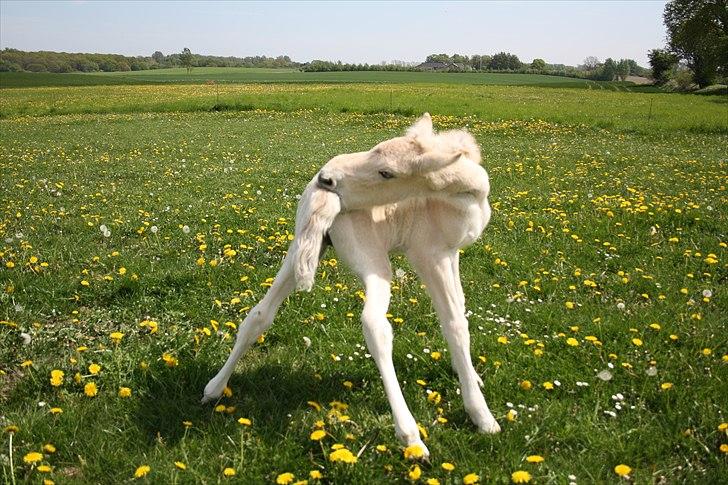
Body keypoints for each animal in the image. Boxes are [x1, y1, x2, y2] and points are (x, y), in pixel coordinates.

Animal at [205, 112, 500, 454]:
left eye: (387, 173)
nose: (327, 178)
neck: (468, 194)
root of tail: (322, 198)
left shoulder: (452, 253)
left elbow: (461, 308)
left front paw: (469, 375)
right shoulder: (430, 254)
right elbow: (454, 324)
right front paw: (482, 415)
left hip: (300, 249)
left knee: (259, 315)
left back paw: (213, 388)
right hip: (374, 260)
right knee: (375, 324)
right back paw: (410, 436)